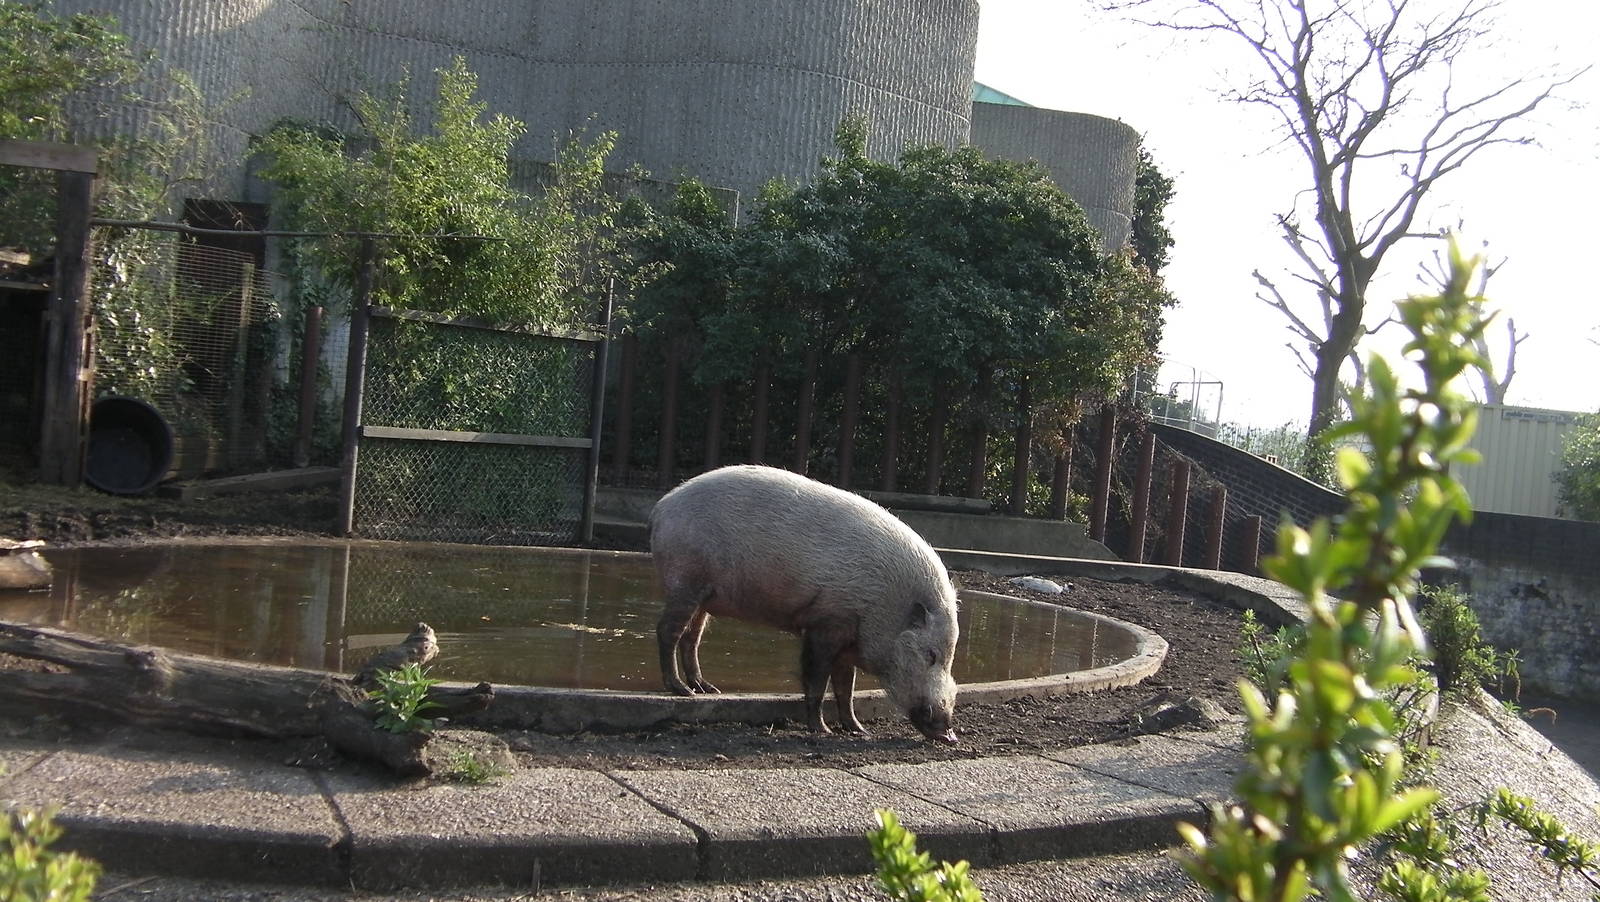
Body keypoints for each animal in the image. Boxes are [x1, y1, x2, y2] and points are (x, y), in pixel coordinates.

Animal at [649, 464, 959, 742]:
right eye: (931, 654)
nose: (950, 734)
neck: (885, 606)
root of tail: (662, 507)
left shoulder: (848, 640)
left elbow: (845, 687)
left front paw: (860, 731)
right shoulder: (827, 623)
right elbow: (817, 680)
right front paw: (823, 731)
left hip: (704, 596)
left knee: (692, 637)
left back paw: (707, 689)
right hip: (685, 581)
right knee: (668, 631)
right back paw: (682, 690)